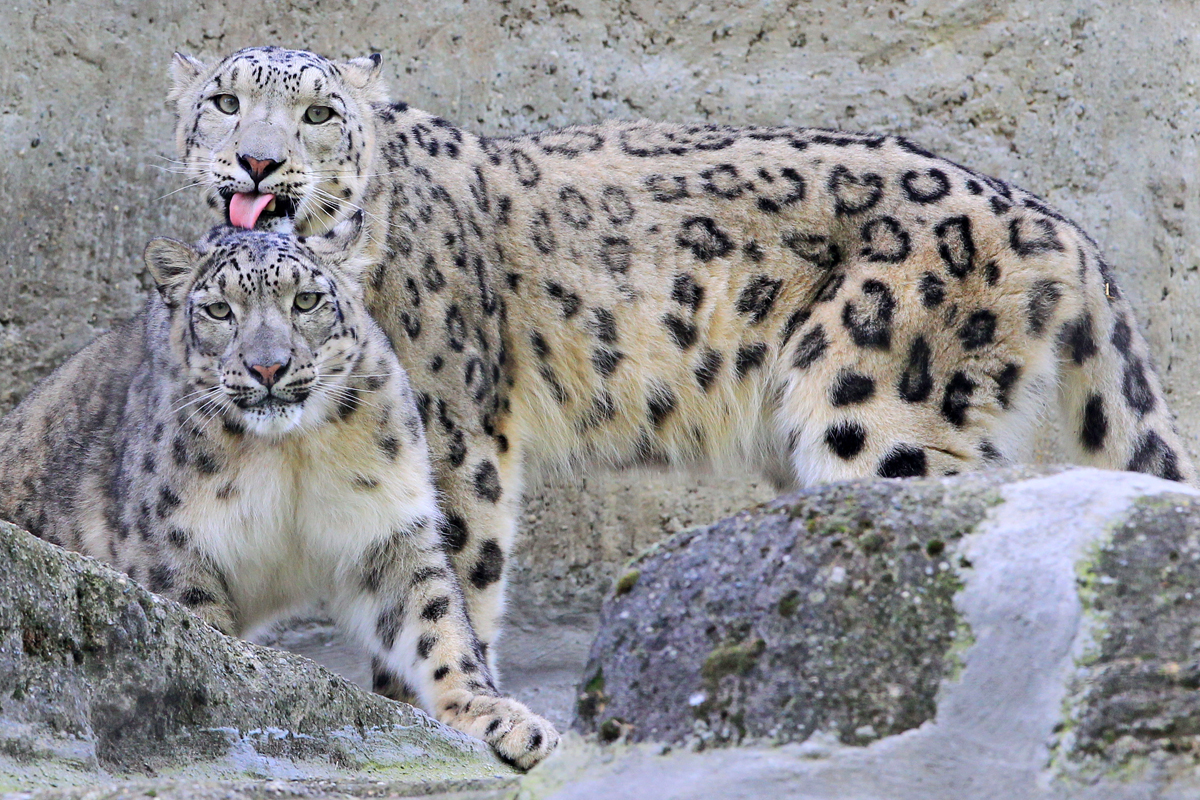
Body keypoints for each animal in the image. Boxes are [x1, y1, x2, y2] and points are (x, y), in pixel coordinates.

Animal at [0, 221, 556, 772]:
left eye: (306, 300)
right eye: (219, 310)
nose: (268, 367)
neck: (290, 453)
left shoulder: (390, 530)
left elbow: (437, 622)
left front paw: (500, 717)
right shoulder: (169, 549)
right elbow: (201, 637)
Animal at [169, 47, 1200, 690]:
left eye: (318, 113)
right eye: (224, 101)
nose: (255, 161)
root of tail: (1050, 220)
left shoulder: (453, 430)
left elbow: (445, 582)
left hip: (877, 410)